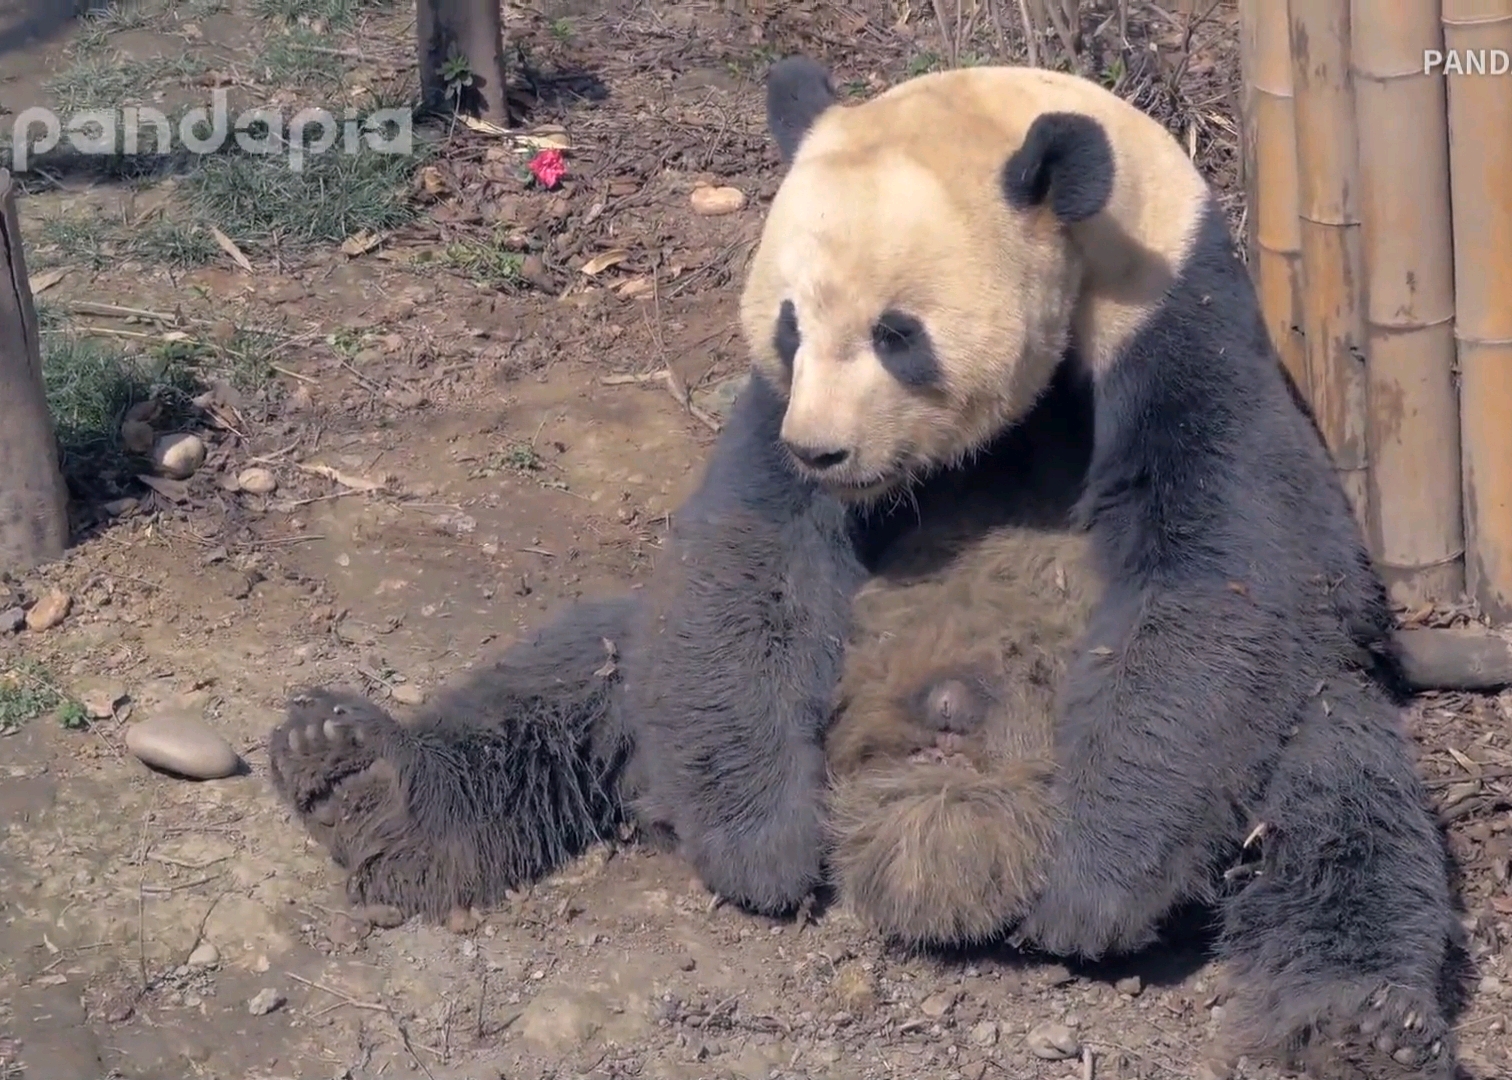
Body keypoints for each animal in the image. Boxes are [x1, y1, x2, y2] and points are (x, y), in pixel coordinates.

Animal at [272, 54, 1463, 1070]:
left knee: (1336, 805)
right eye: (789, 326)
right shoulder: (774, 417)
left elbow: (1227, 574)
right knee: (595, 664)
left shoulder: (1180, 327)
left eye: (899, 333)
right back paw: (357, 778)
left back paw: (1361, 1028)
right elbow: (748, 538)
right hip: (713, 675)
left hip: (1281, 740)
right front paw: (758, 847)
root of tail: (948, 808)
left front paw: (1093, 891)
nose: (824, 452)